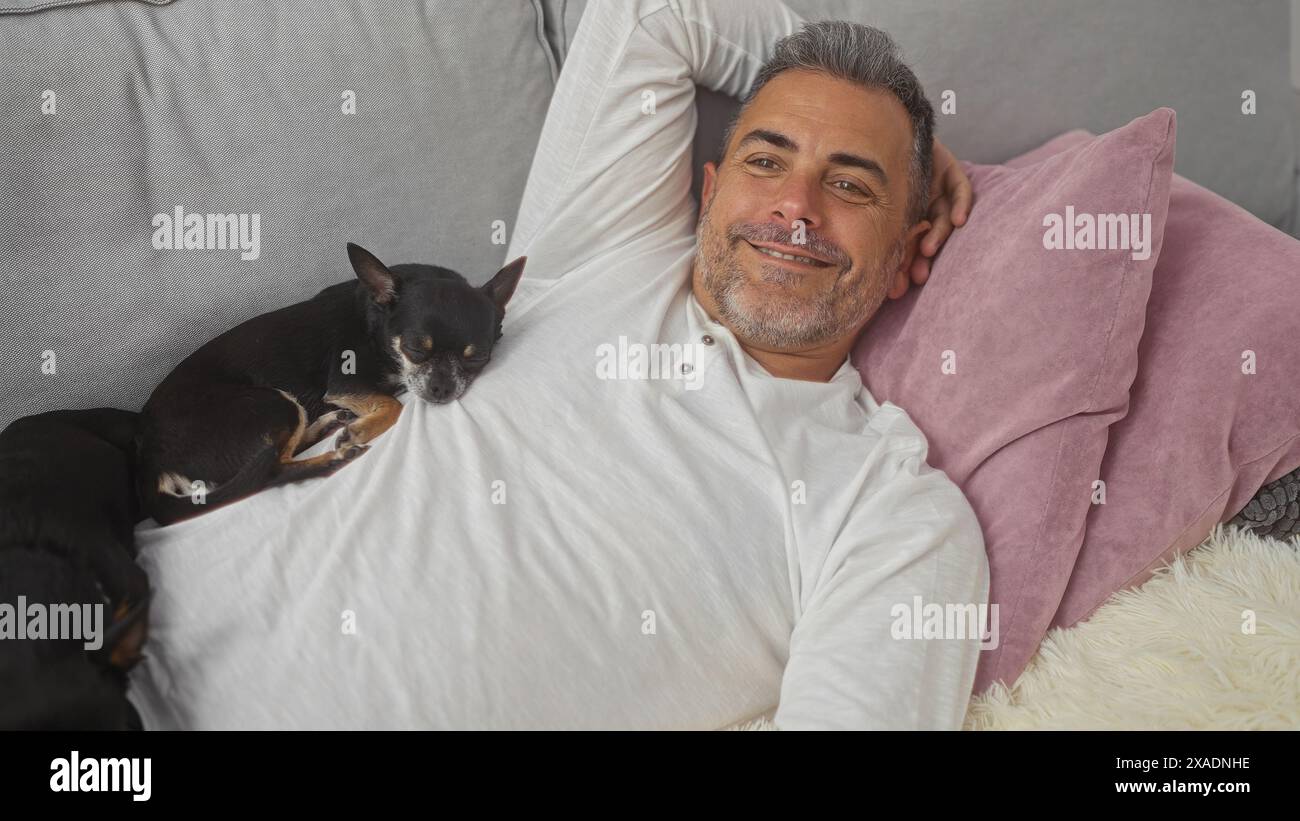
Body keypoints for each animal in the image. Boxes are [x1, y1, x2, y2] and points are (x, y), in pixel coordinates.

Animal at [138, 244, 527, 524]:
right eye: (415, 348)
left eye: (477, 357)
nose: (441, 390)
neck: (377, 323)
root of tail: (152, 456)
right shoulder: (345, 382)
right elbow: (394, 404)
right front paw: (362, 429)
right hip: (275, 404)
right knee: (271, 469)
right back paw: (336, 453)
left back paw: (329, 424)